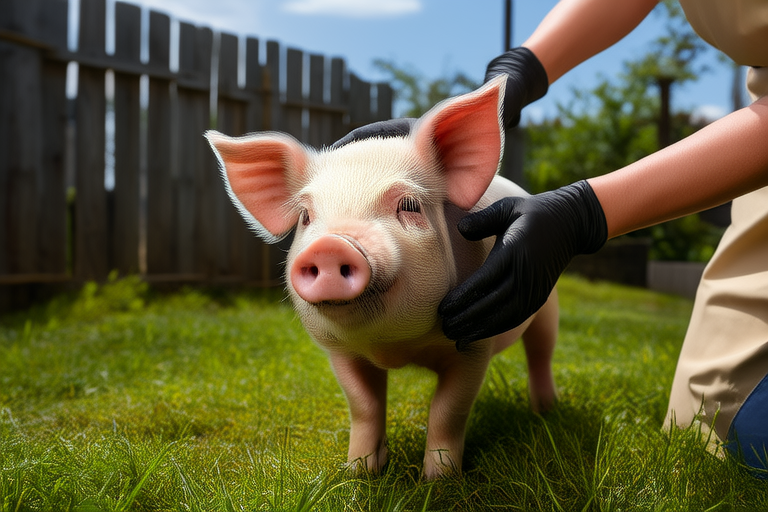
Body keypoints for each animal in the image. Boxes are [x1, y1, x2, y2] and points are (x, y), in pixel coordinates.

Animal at [204, 75, 558, 480]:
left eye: (409, 206)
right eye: (306, 217)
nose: (330, 245)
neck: (395, 349)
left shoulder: (474, 345)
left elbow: (448, 410)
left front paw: (438, 481)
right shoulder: (340, 352)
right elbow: (364, 406)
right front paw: (359, 472)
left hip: (548, 302)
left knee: (541, 352)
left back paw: (546, 411)